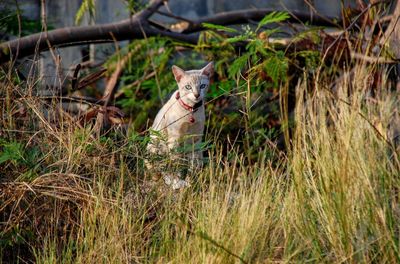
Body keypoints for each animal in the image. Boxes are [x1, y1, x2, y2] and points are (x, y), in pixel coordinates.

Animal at [146, 62, 214, 190]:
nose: (197, 95)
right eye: (188, 87)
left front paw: (193, 178)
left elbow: (194, 162)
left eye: (202, 86)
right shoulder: (174, 139)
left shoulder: (196, 138)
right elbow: (176, 163)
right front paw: (177, 181)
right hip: (156, 146)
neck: (191, 111)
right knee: (159, 171)